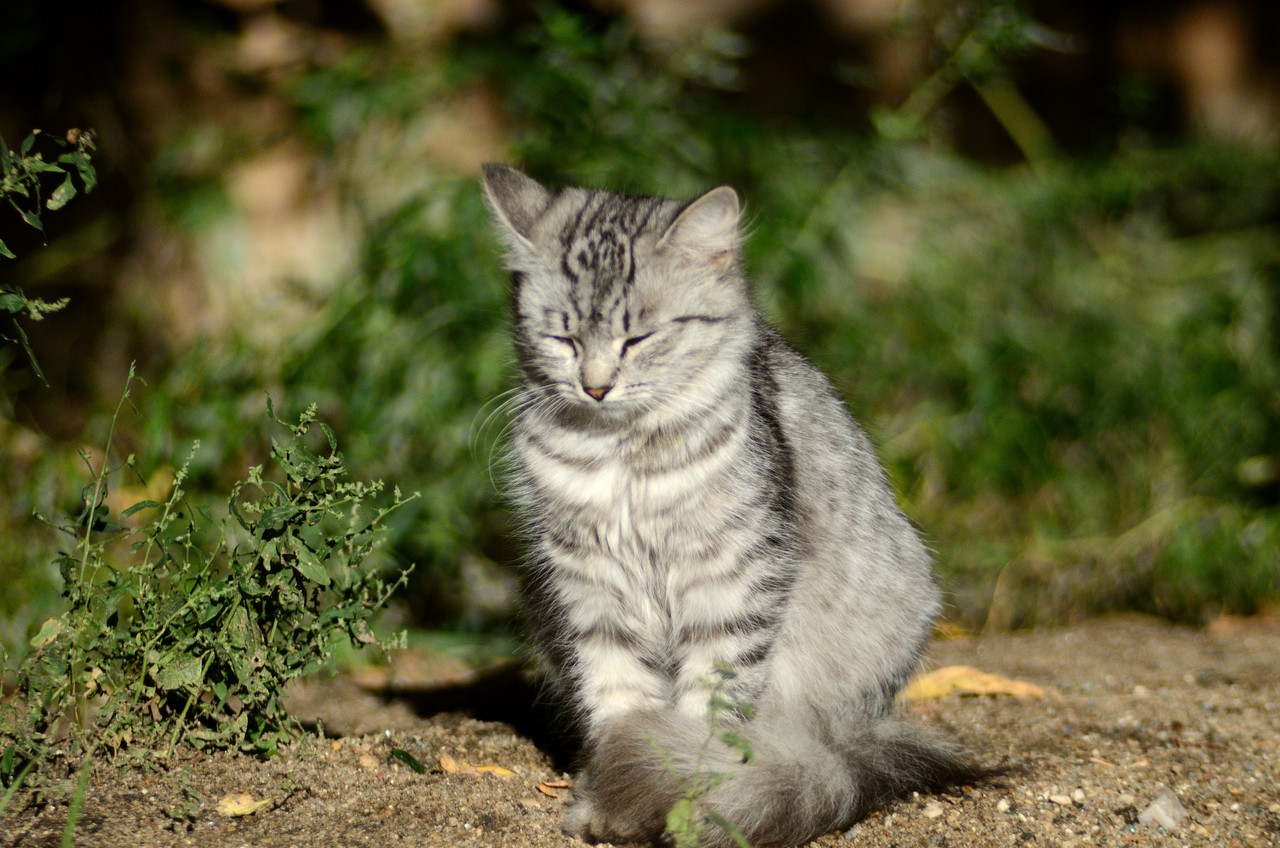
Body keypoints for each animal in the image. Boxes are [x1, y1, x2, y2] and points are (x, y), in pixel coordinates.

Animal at [481, 162, 977, 845]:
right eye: (564, 338)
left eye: (638, 338)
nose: (596, 386)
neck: (621, 457)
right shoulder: (590, 585)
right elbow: (619, 702)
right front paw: (608, 797)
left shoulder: (731, 576)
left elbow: (704, 714)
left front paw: (683, 799)